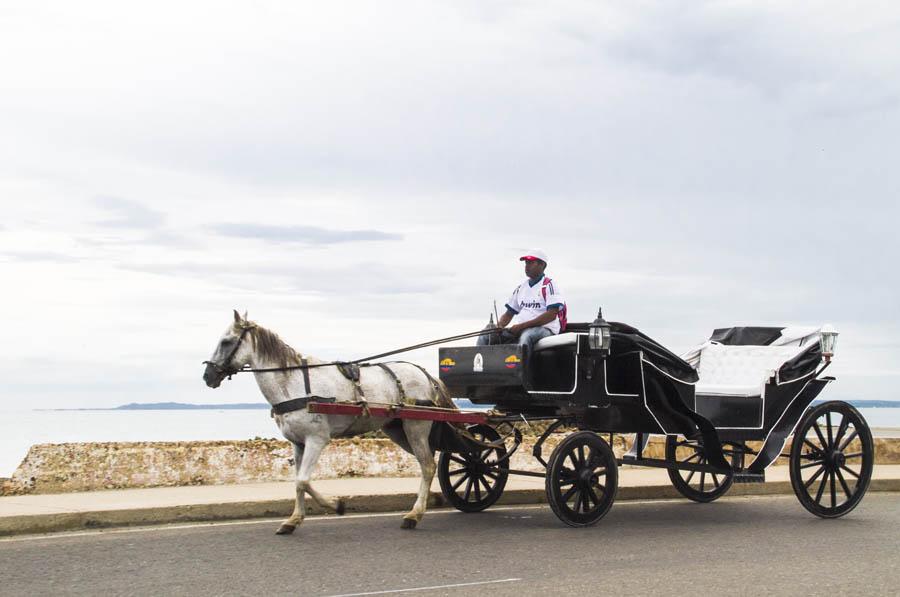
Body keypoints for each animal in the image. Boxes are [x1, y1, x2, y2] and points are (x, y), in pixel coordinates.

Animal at [205, 310, 458, 532]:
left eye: (226, 342)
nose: (208, 376)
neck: (293, 383)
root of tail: (425, 374)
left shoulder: (317, 439)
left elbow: (303, 481)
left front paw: (336, 504)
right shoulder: (298, 443)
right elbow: (297, 482)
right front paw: (294, 520)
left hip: (415, 426)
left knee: (427, 466)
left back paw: (414, 515)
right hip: (397, 430)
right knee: (428, 464)